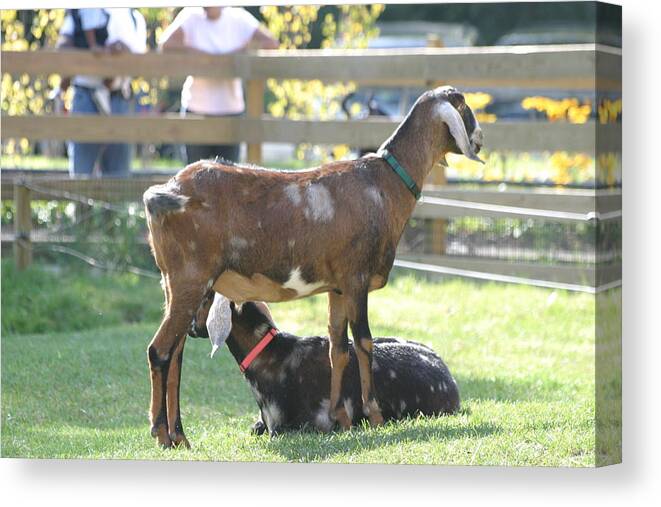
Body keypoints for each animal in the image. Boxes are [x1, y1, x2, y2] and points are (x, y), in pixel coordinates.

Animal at [143, 86, 480, 448]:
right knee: (159, 351)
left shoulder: (337, 287)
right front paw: (374, 416)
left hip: (174, 284)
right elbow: (364, 343)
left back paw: (180, 435)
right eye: (463, 106)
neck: (384, 182)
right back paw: (161, 433)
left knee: (176, 354)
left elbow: (338, 349)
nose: (478, 141)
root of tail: (164, 191)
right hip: (189, 278)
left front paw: (340, 418)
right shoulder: (356, 277)